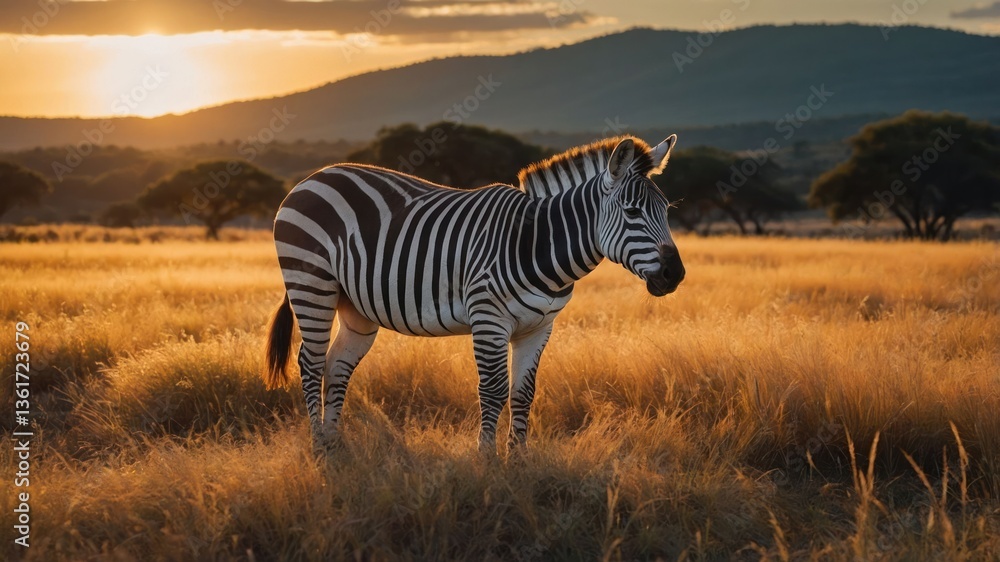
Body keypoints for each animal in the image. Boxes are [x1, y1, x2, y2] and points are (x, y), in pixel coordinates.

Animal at [262, 135, 685, 454]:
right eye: (632, 212)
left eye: (666, 210)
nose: (675, 274)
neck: (537, 243)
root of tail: (313, 177)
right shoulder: (488, 318)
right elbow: (493, 391)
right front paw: (487, 461)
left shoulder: (539, 327)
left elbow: (524, 393)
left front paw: (519, 462)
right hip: (311, 284)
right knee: (311, 363)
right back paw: (318, 446)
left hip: (357, 309)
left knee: (337, 366)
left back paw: (336, 446)